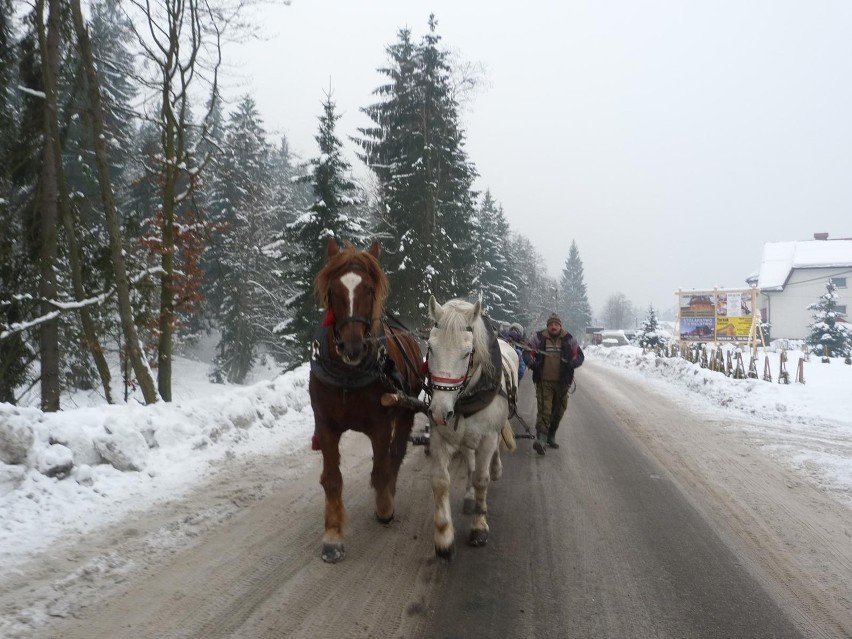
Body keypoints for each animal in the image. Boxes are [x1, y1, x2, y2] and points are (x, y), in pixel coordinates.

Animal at [310, 238, 422, 564]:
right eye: (333, 290)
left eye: (369, 290)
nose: (353, 347)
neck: (348, 376)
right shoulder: (325, 425)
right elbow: (332, 478)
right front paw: (332, 536)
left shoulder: (380, 425)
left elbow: (382, 468)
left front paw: (384, 507)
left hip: (407, 410)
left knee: (396, 454)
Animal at [426, 296, 520, 560]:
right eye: (430, 347)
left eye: (467, 352)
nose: (439, 412)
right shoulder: (439, 436)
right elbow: (441, 482)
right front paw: (444, 537)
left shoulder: (487, 437)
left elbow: (481, 479)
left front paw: (479, 527)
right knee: (469, 459)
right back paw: (468, 497)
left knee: (492, 452)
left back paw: (495, 469)